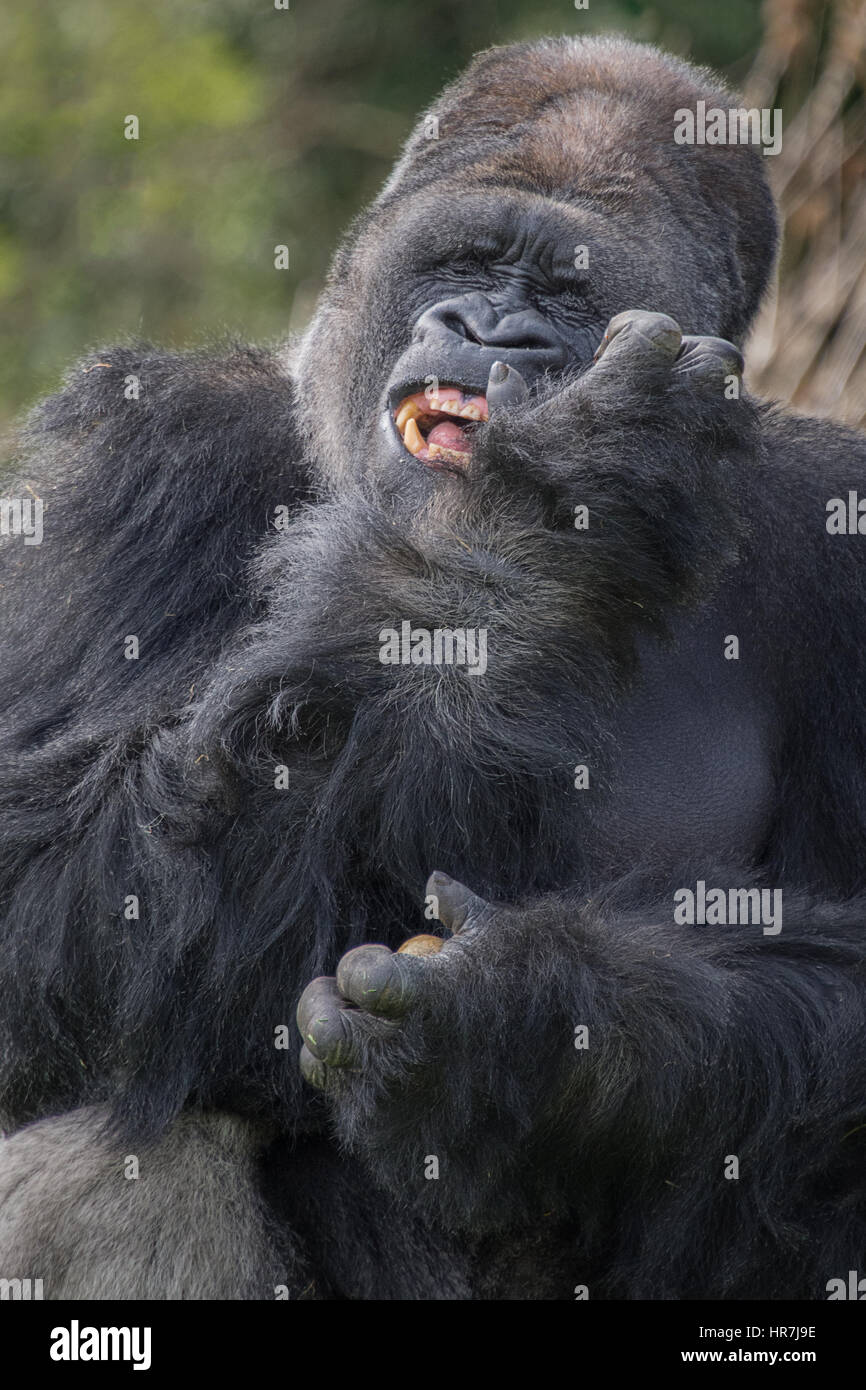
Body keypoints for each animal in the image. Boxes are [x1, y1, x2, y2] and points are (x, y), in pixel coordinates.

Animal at [1, 35, 866, 1301]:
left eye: (566, 292)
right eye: (463, 262)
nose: (488, 330)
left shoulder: (835, 536)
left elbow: (843, 976)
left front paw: (530, 1031)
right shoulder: (141, 457)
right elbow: (40, 893)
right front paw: (536, 527)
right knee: (111, 1133)